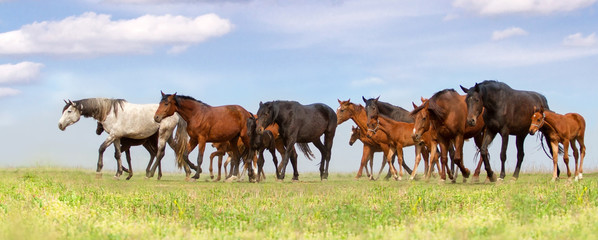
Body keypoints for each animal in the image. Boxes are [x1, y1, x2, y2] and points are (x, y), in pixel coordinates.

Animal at [59, 98, 195, 180]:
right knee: (177, 149)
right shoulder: (117, 137)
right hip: (168, 135)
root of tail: (175, 113)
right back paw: (189, 172)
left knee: (160, 153)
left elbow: (101, 148)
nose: (60, 125)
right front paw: (118, 173)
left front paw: (99, 171)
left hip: (163, 134)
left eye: (69, 111)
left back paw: (150, 174)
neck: (110, 112)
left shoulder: (113, 135)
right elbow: (118, 154)